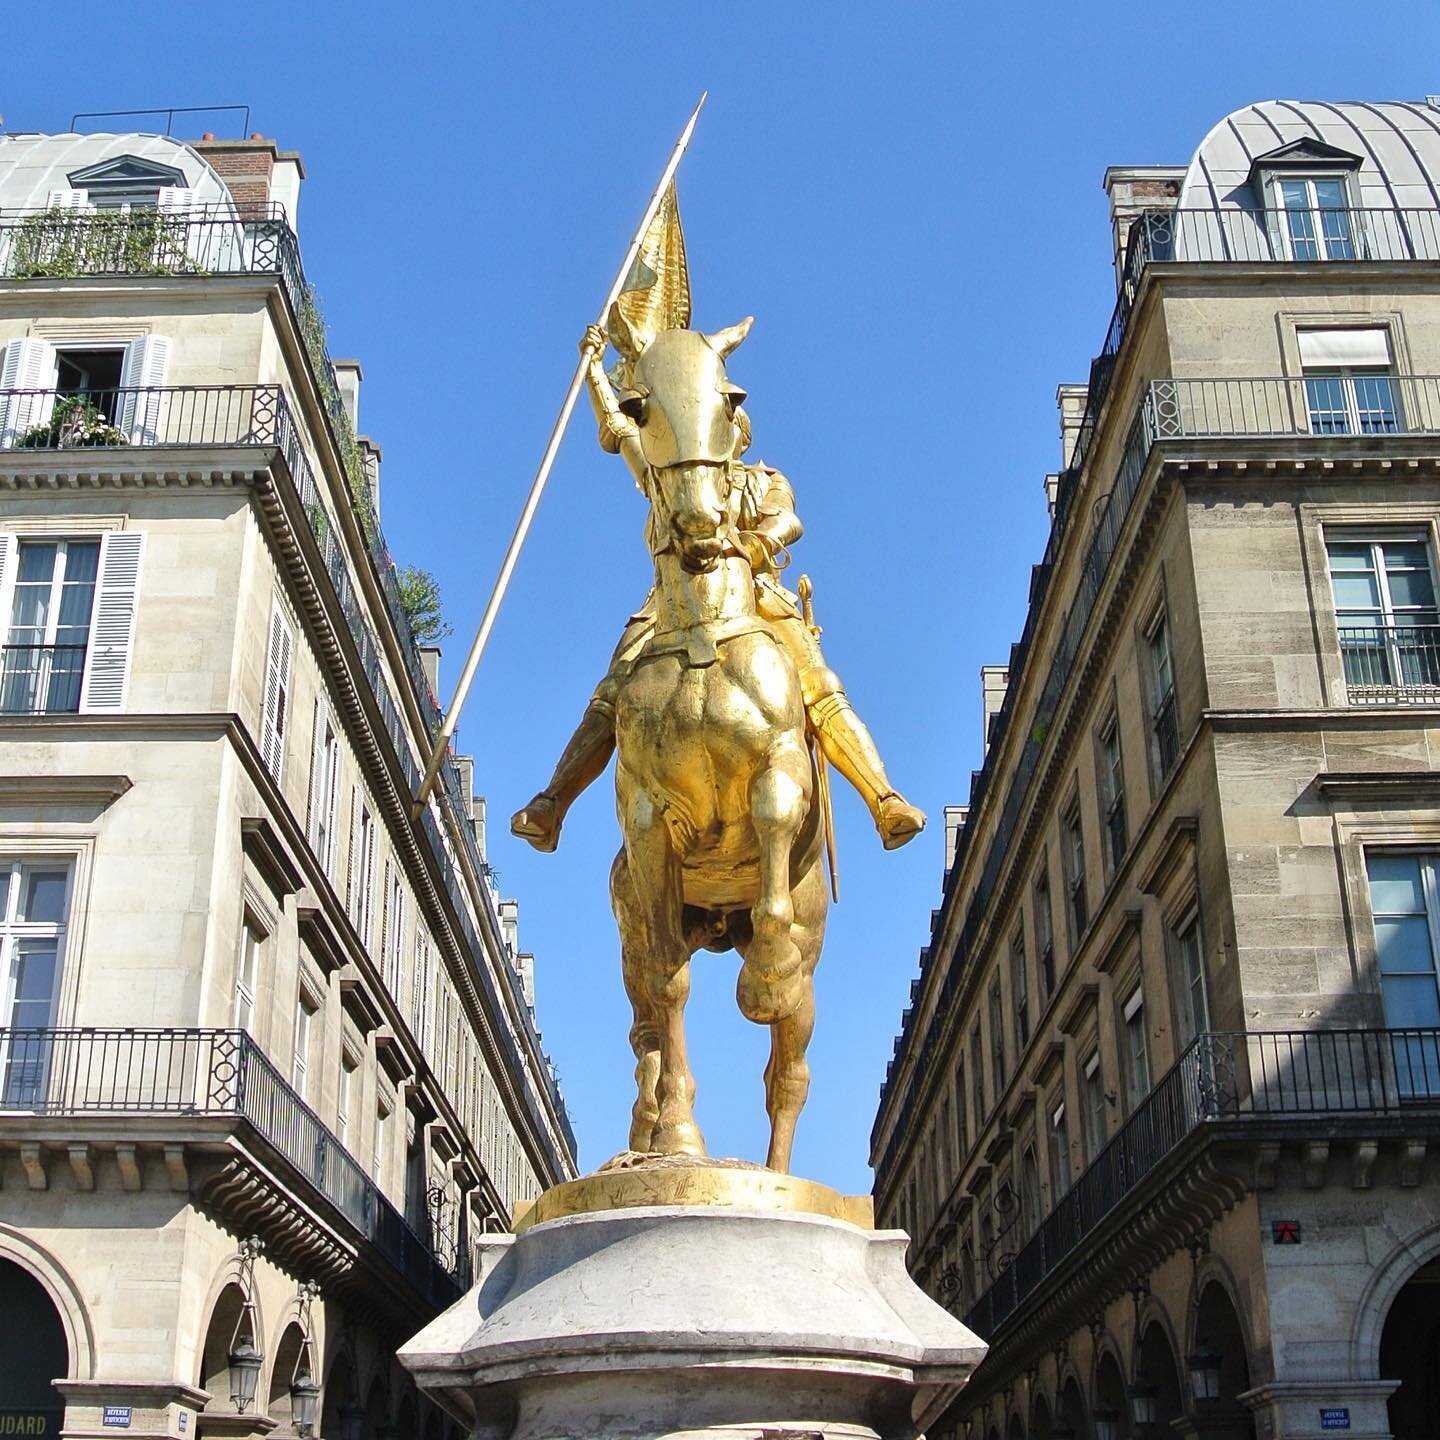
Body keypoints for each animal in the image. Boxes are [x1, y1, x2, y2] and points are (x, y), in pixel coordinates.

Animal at [607, 315, 829, 1169]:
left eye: (730, 398)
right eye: (637, 405)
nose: (703, 525)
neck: (702, 635)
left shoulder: (780, 767)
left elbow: (769, 825)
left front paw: (761, 977)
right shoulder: (645, 823)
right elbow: (670, 985)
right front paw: (677, 1141)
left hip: (813, 944)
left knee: (787, 1074)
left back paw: (774, 1175)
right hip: (631, 925)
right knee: (646, 1024)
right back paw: (643, 1140)